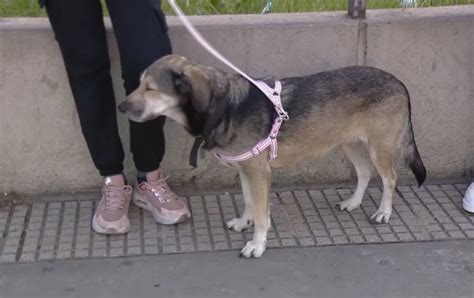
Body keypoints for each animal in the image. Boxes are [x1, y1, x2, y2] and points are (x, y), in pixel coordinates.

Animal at [117, 56, 426, 258]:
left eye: (150, 88)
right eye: (139, 84)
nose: (120, 107)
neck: (226, 106)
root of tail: (398, 82)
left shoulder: (258, 172)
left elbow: (261, 214)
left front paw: (258, 244)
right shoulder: (245, 170)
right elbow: (249, 203)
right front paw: (244, 223)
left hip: (379, 147)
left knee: (390, 178)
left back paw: (384, 212)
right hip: (349, 143)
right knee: (364, 173)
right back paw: (353, 203)